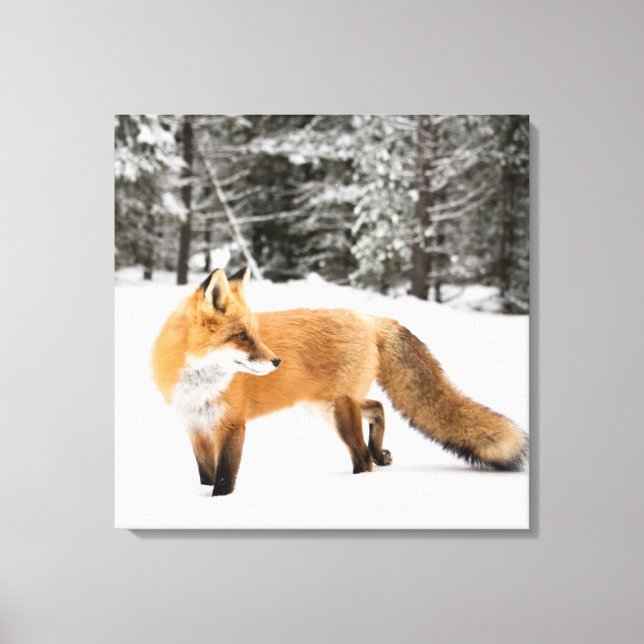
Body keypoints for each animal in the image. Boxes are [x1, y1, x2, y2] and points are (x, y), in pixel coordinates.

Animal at [152, 266, 527, 496]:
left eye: (254, 334)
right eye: (241, 336)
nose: (276, 361)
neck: (198, 384)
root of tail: (368, 317)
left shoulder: (232, 425)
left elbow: (224, 479)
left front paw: (219, 504)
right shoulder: (196, 427)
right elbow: (206, 476)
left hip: (338, 410)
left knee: (361, 456)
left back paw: (361, 479)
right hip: (325, 405)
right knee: (377, 407)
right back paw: (380, 453)